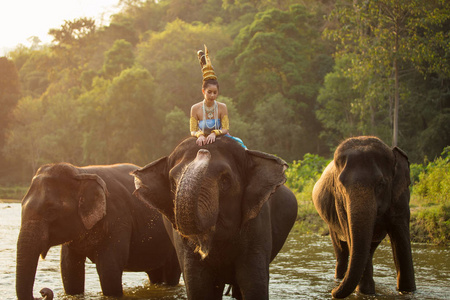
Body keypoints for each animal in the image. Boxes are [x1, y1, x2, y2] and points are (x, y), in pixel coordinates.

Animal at [15, 163, 181, 300]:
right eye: (21, 207)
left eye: (51, 211)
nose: (43, 292)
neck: (79, 172)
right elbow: (69, 269)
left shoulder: (118, 220)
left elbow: (108, 269)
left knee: (171, 272)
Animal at [132, 137, 298, 300]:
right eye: (173, 183)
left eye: (225, 180)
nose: (203, 152)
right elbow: (198, 285)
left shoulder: (258, 226)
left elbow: (254, 283)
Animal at [312, 137, 414, 298]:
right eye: (341, 184)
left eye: (381, 184)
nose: (333, 293)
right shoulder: (340, 203)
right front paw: (365, 293)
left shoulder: (401, 198)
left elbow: (401, 240)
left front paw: (408, 291)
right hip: (331, 223)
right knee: (341, 252)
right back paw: (339, 280)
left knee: (368, 250)